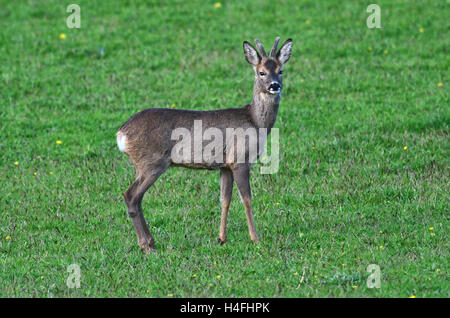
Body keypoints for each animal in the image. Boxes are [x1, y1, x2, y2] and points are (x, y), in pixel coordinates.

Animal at [116, 37, 292, 252]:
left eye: (281, 70)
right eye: (261, 72)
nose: (275, 85)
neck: (255, 121)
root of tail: (121, 133)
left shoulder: (225, 165)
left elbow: (225, 199)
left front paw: (221, 238)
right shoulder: (240, 160)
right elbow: (247, 199)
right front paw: (255, 239)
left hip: (143, 165)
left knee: (137, 198)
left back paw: (150, 241)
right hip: (152, 163)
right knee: (131, 195)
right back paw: (146, 246)